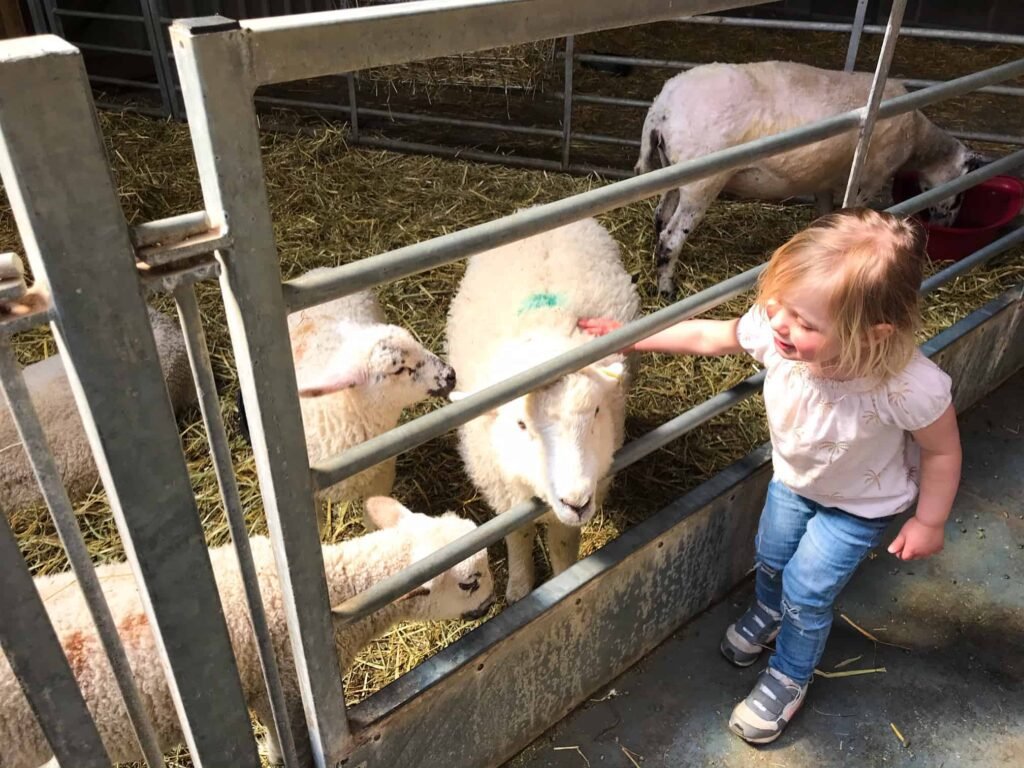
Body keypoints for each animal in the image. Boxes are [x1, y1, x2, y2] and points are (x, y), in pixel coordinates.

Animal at [448, 215, 638, 602]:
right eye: (521, 425)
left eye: (596, 414)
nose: (577, 501)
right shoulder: (504, 490)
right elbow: (517, 536)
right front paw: (519, 587)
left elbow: (564, 542)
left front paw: (566, 578)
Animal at [634, 57, 987, 294]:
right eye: (960, 196)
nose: (948, 225)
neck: (919, 139)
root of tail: (662, 106)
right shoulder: (870, 178)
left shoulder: (825, 181)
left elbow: (824, 213)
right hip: (702, 181)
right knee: (671, 237)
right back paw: (667, 289)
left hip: (672, 170)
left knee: (659, 218)